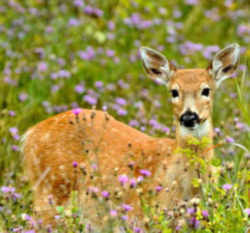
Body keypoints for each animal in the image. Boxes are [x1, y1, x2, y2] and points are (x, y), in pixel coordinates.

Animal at [22, 43, 240, 228]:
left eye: (206, 90)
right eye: (174, 92)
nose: (188, 116)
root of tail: (29, 134)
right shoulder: (147, 214)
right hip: (50, 187)